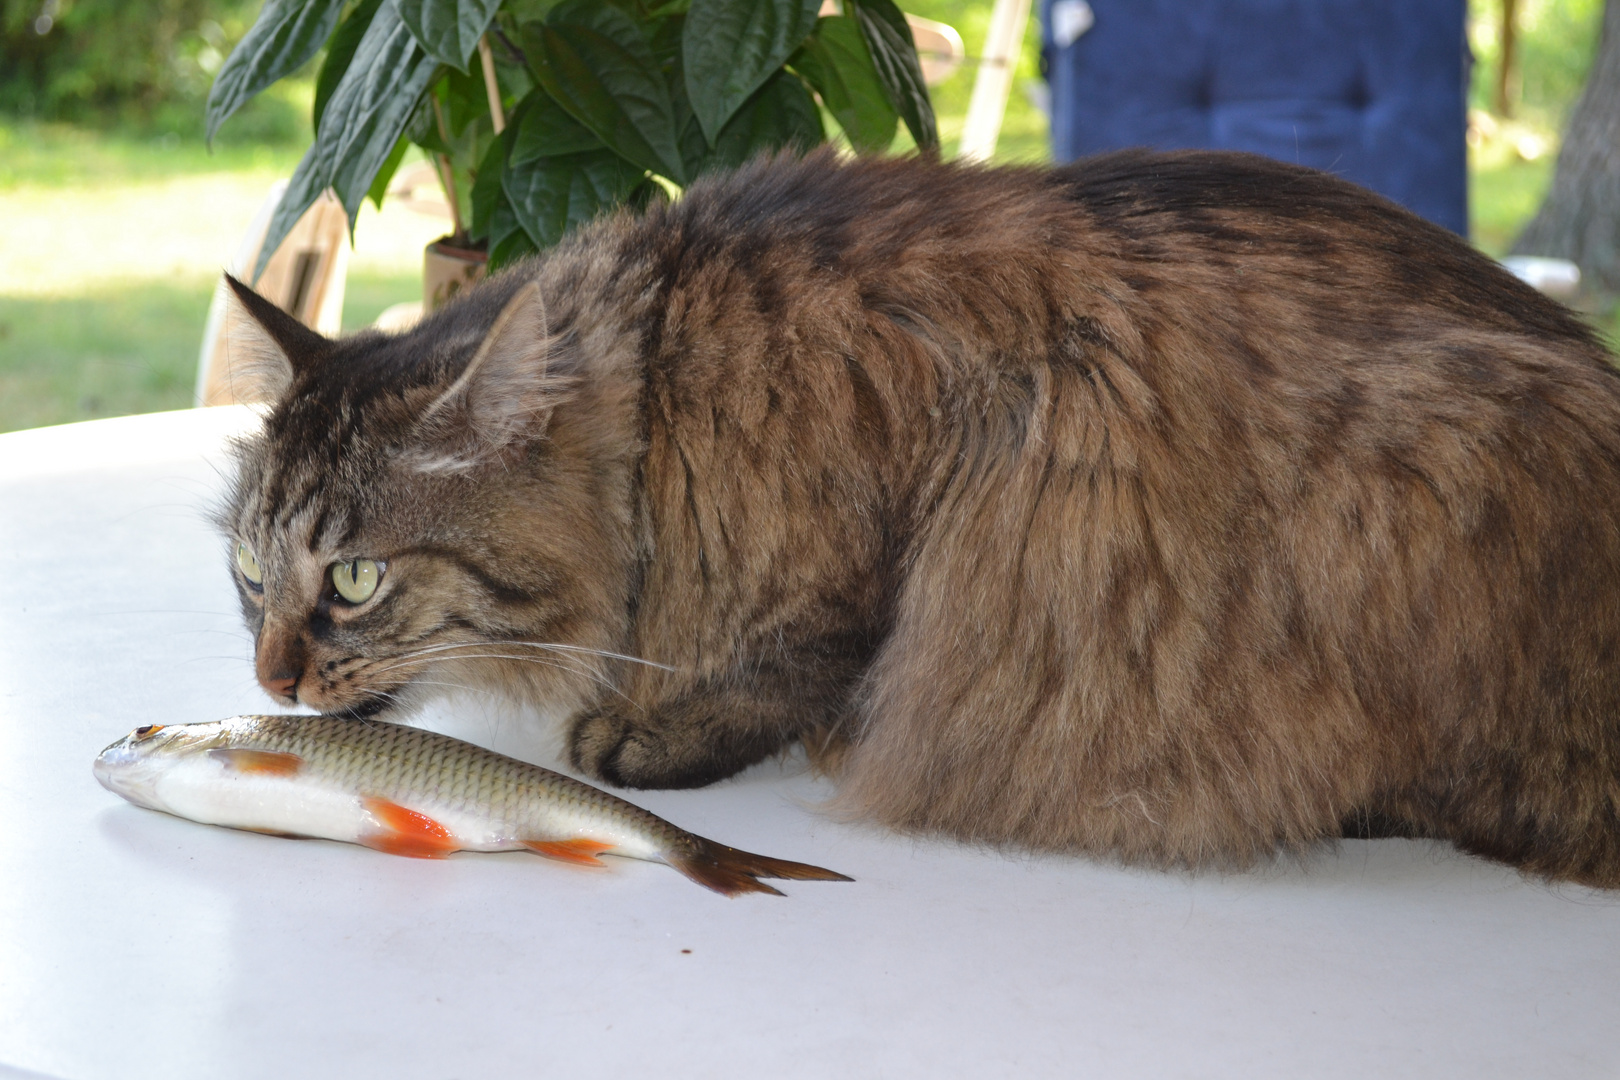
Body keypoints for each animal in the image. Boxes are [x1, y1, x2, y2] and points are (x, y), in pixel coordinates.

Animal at [215, 149, 1620, 887]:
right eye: (249, 573)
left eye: (354, 580)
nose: (269, 682)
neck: (666, 394)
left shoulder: (915, 491)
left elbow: (802, 656)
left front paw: (664, 733)